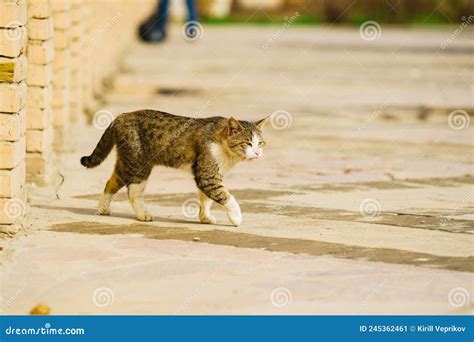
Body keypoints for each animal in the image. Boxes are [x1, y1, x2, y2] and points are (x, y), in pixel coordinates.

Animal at [81, 110, 266, 227]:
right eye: (247, 143)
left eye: (261, 143)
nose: (257, 153)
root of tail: (122, 116)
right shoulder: (207, 174)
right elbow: (226, 196)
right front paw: (236, 218)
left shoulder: (210, 174)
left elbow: (206, 199)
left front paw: (205, 217)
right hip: (137, 164)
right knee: (132, 190)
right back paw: (141, 214)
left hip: (128, 162)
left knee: (111, 183)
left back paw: (105, 209)